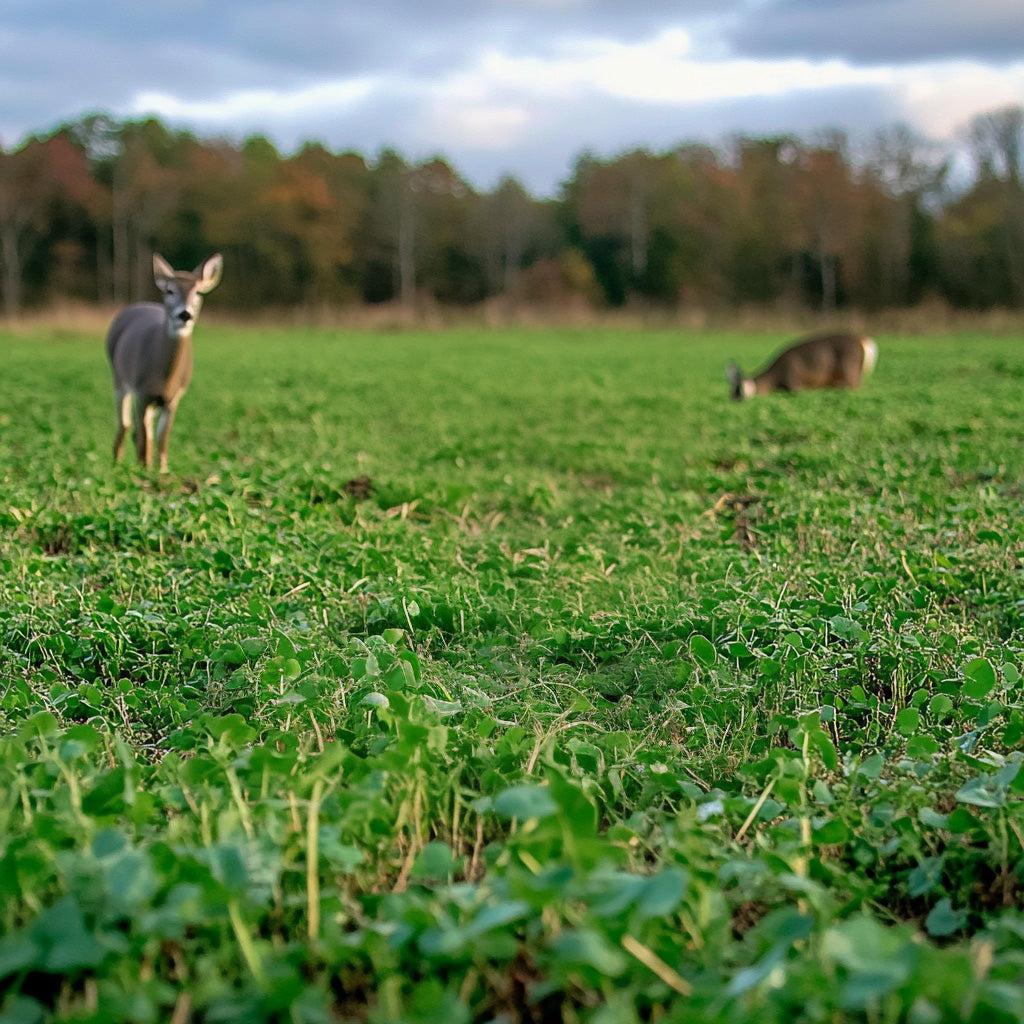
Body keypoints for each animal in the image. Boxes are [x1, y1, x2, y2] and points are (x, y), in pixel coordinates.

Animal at [106, 252, 223, 472]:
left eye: (197, 292)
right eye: (170, 290)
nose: (185, 314)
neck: (165, 377)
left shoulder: (173, 398)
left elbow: (162, 437)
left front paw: (161, 470)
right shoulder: (141, 392)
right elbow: (143, 435)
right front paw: (145, 470)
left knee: (143, 430)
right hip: (119, 378)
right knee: (125, 424)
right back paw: (117, 463)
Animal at [726, 331, 877, 401]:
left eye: (737, 390)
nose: (732, 400)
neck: (776, 378)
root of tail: (864, 341)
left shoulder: (795, 383)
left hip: (851, 374)